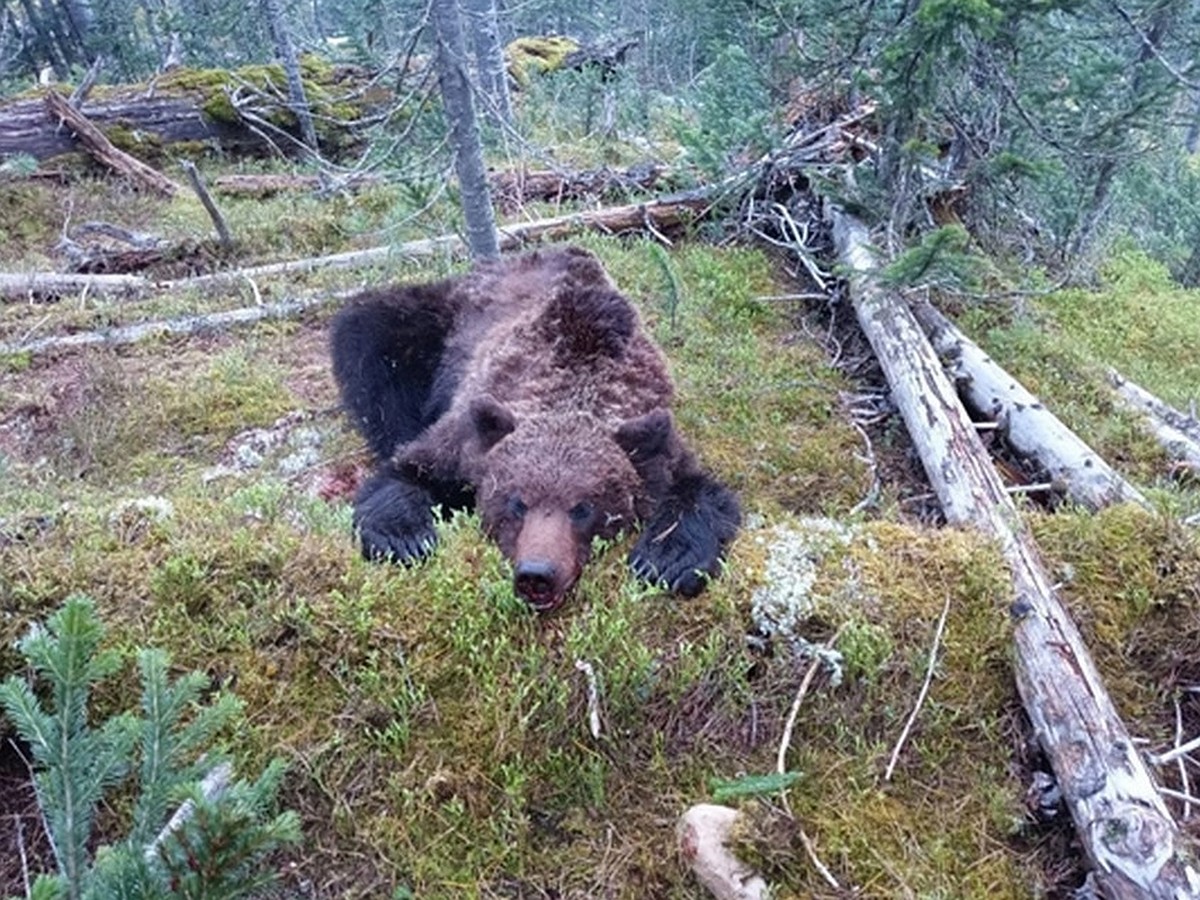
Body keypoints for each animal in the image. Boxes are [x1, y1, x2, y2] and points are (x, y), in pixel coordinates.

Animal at [331, 244, 739, 614]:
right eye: (517, 502)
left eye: (583, 508)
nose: (537, 574)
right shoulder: (468, 435)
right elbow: (407, 470)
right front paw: (405, 538)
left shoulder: (656, 438)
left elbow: (701, 492)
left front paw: (667, 559)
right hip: (438, 322)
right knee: (371, 334)